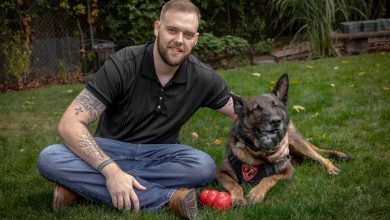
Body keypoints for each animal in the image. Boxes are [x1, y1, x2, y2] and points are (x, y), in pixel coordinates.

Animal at [215, 74, 352, 206]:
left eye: (276, 106)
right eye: (257, 109)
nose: (276, 121)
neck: (259, 154)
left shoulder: (287, 172)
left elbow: (268, 178)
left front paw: (256, 193)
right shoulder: (220, 174)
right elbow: (235, 185)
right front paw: (238, 198)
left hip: (297, 144)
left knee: (320, 156)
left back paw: (331, 167)